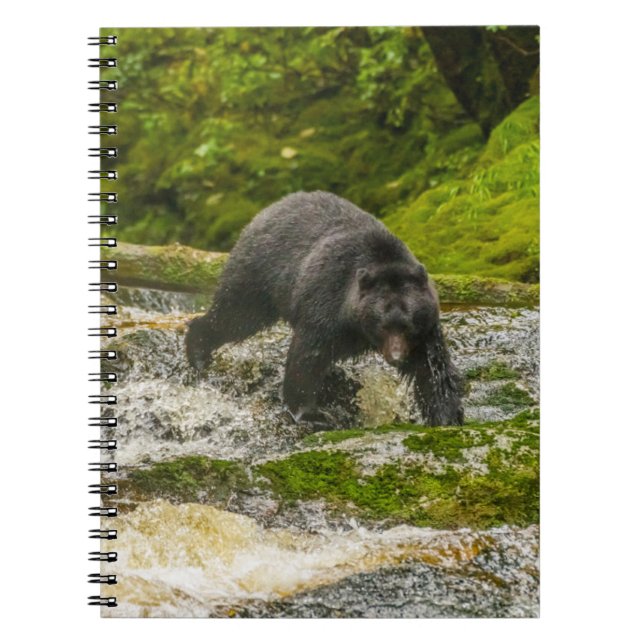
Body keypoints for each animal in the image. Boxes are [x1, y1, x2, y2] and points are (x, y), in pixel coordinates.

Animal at [186, 191, 463, 427]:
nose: (396, 357)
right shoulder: (327, 301)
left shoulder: (426, 331)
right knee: (235, 315)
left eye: (407, 325)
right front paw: (311, 413)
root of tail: (267, 210)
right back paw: (198, 352)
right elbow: (308, 356)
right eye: (382, 324)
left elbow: (433, 371)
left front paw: (447, 417)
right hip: (259, 274)